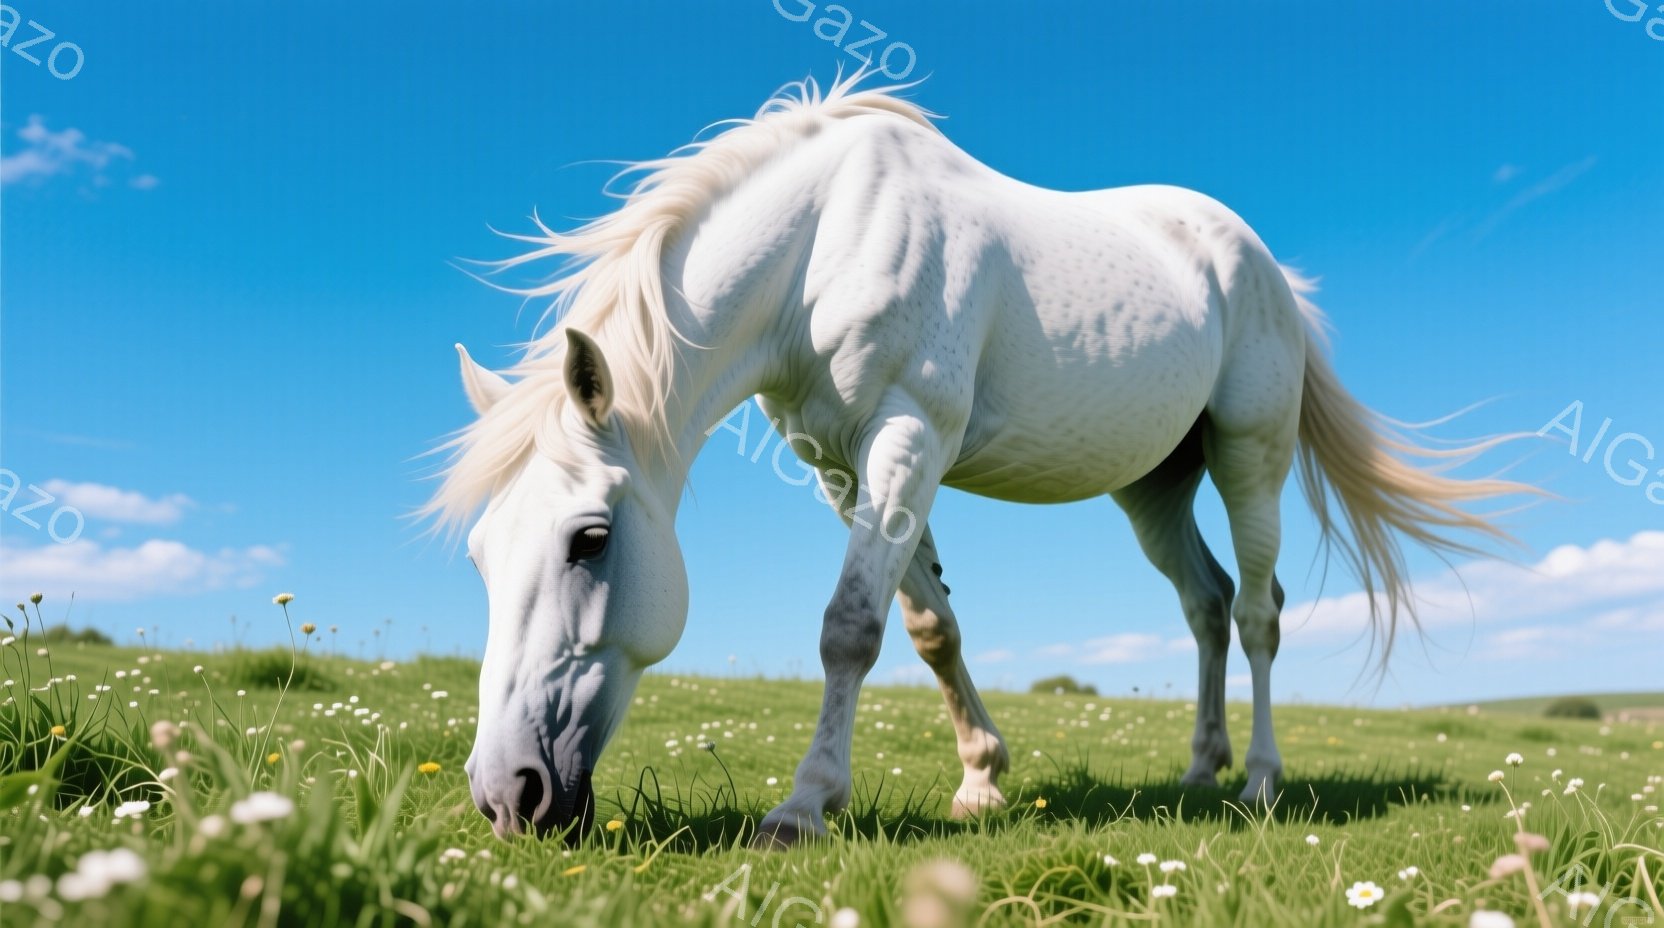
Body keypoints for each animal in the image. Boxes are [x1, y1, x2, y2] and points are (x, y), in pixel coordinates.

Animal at [426, 74, 1530, 847]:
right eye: (479, 556)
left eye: (590, 538)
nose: (507, 794)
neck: (822, 242)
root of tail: (1258, 262)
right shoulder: (841, 463)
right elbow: (927, 625)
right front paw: (980, 779)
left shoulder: (907, 437)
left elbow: (849, 629)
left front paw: (804, 806)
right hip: (1152, 487)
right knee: (1207, 603)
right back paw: (1197, 771)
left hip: (1245, 454)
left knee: (1259, 611)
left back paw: (1258, 779)